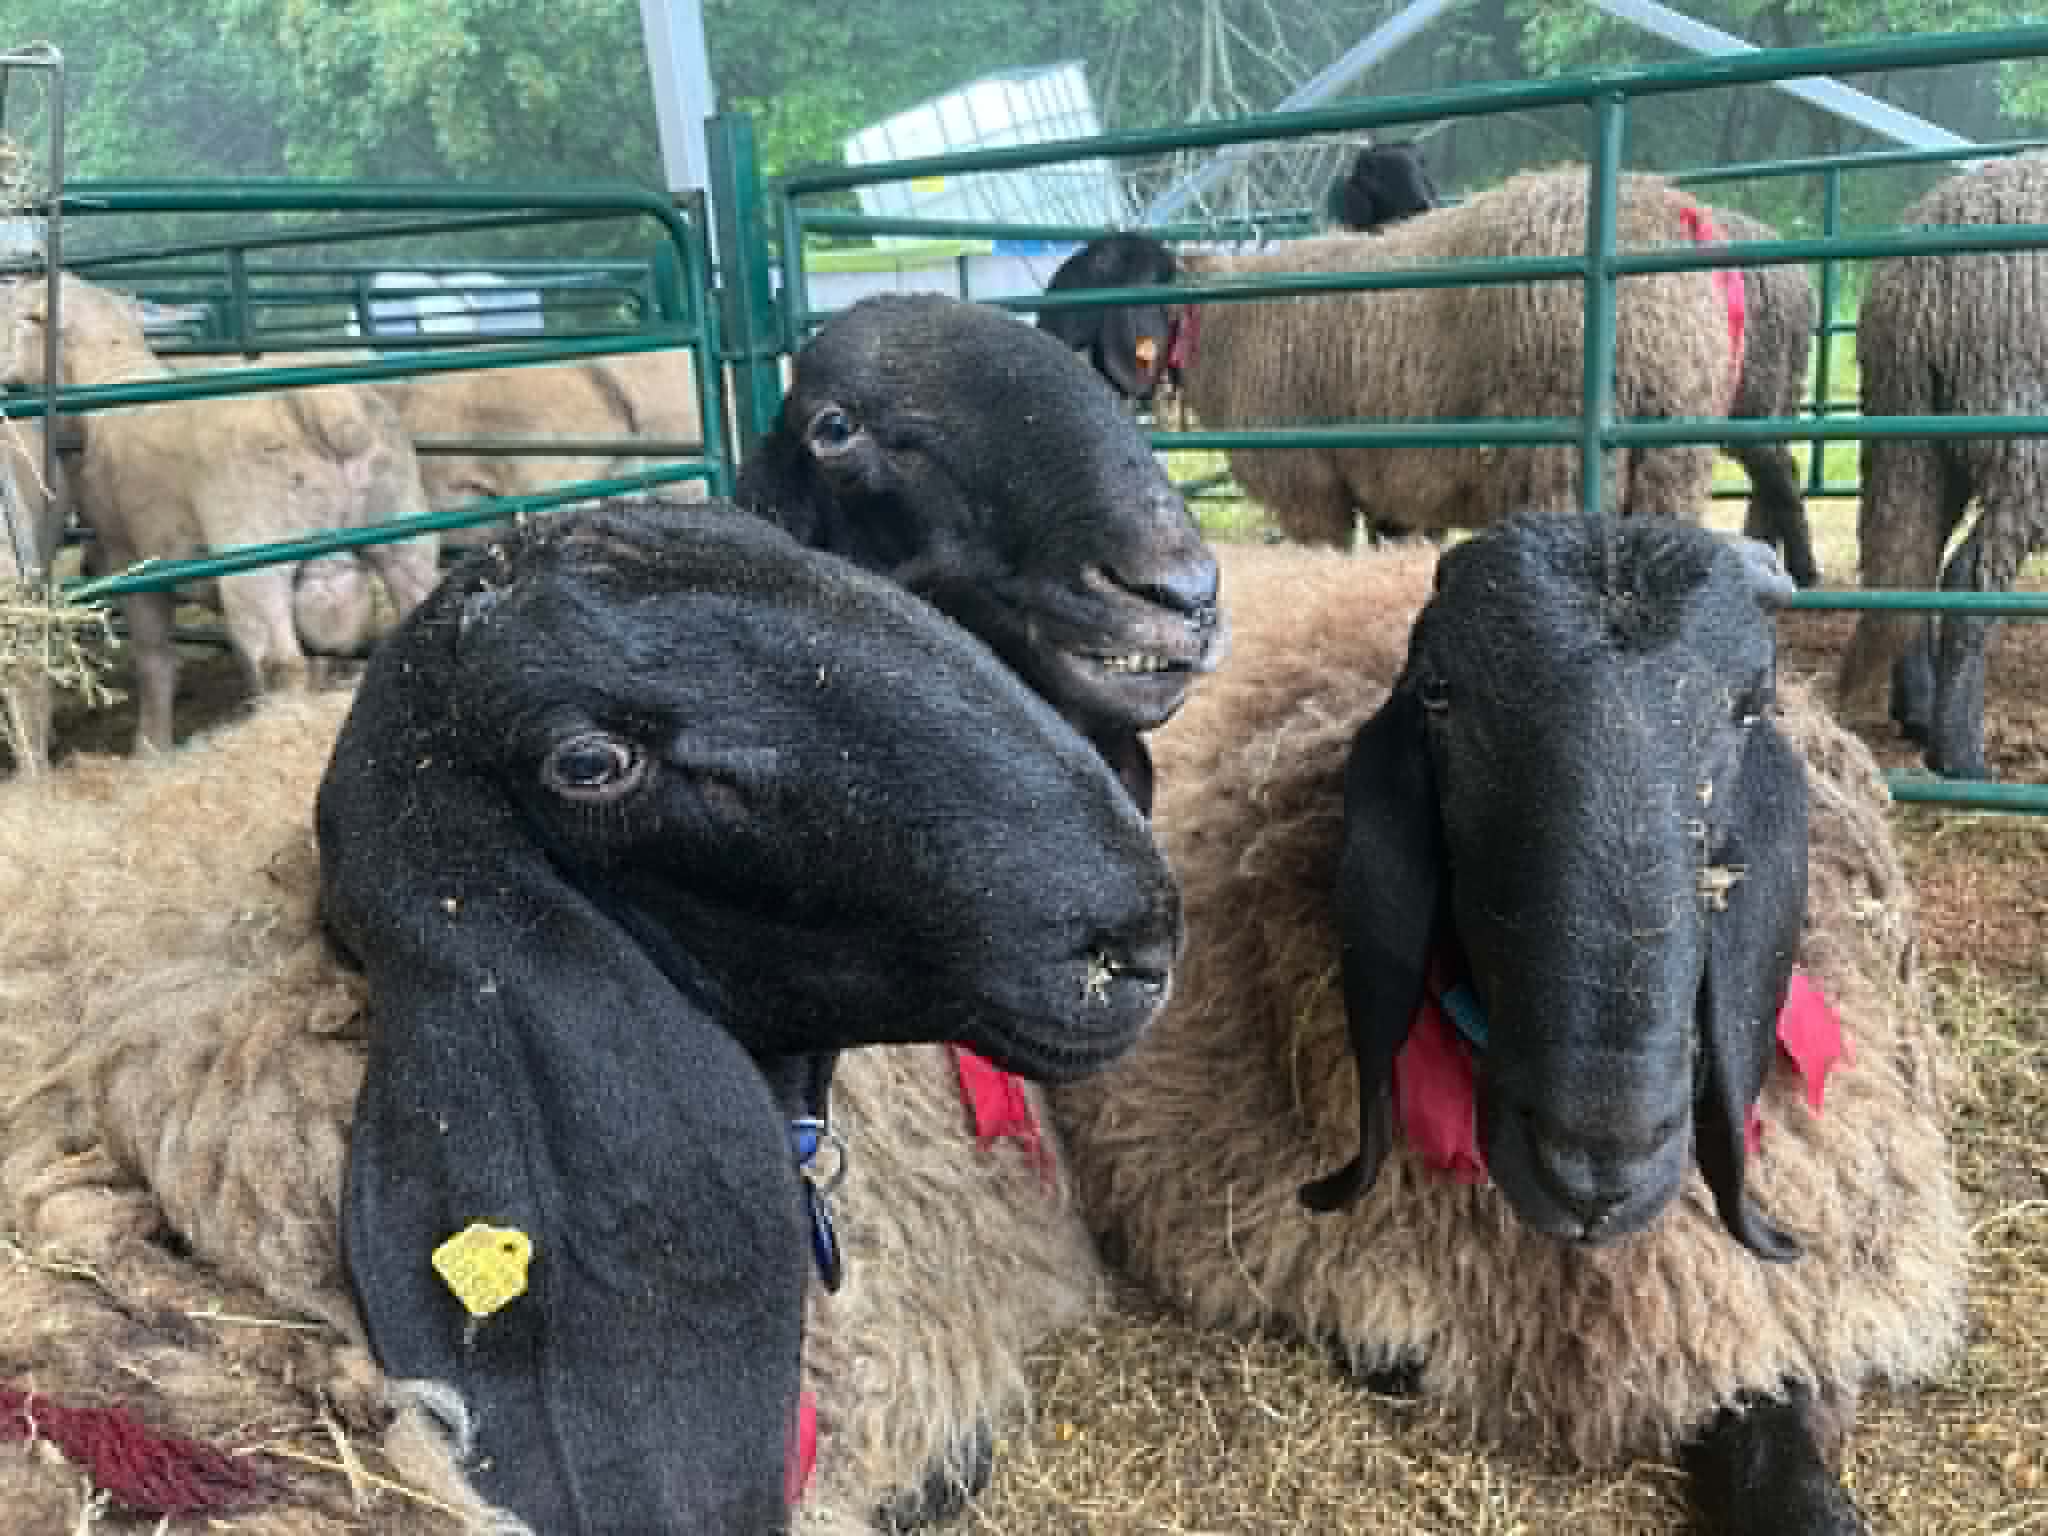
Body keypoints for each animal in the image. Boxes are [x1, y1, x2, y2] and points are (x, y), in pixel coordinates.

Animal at [4, 272, 440, 753]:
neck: (110, 379)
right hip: (404, 525)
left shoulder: (131, 560)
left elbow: (155, 658)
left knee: (281, 664)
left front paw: (151, 748)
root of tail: (324, 404)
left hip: (254, 558)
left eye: (17, 314)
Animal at [1038, 167, 1747, 549]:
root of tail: (1667, 212)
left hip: (1559, 450)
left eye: (1096, 270)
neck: (1214, 323)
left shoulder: (1308, 485)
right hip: (1673, 442)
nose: (1034, 332)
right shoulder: (1393, 485)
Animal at [1836, 150, 2048, 779]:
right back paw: (1959, 755)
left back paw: (1919, 712)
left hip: (1916, 436)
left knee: (1909, 564)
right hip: (2019, 437)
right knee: (1967, 579)